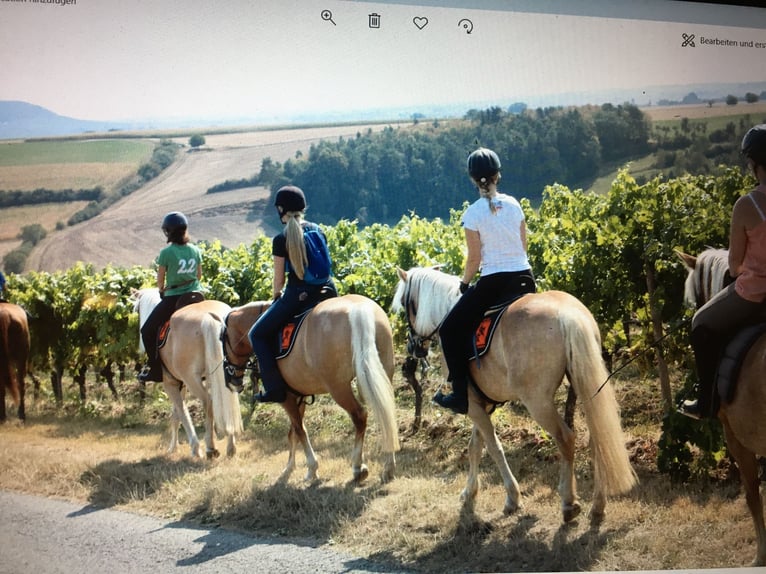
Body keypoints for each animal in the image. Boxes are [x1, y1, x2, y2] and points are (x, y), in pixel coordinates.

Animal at [130, 290, 242, 462]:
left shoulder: (170, 383)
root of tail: (210, 317)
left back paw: (210, 447)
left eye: (136, 309)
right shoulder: (181, 384)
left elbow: (181, 413)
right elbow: (176, 415)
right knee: (227, 402)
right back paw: (231, 447)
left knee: (208, 402)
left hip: (192, 379)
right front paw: (173, 447)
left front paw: (195, 448)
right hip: (226, 374)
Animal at [224, 296, 400, 486]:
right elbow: (293, 432)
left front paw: (311, 467)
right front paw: (290, 468)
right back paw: (388, 468)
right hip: (383, 375)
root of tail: (358, 308)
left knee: (360, 417)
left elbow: (299, 430)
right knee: (386, 414)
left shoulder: (286, 398)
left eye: (223, 339)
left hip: (339, 388)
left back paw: (357, 468)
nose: (231, 379)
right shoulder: (298, 396)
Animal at [392, 268, 640, 528]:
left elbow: (493, 447)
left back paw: (569, 503)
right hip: (586, 384)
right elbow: (475, 445)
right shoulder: (482, 404)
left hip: (538, 402)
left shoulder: (472, 405)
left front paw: (512, 497)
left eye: (405, 305)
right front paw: (469, 492)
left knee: (566, 438)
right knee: (599, 438)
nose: (413, 348)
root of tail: (567, 313)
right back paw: (598, 506)